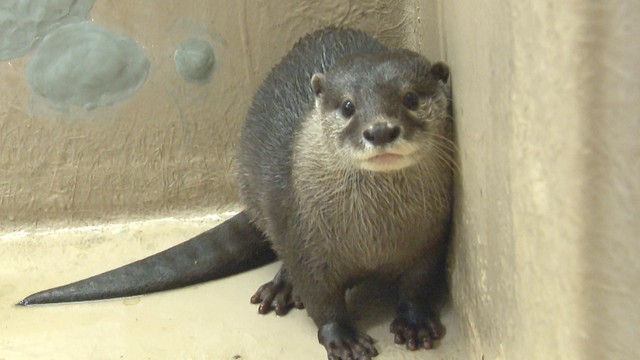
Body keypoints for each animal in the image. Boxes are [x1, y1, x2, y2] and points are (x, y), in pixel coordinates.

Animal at [18, 28, 456, 360]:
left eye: (410, 98)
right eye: (348, 106)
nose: (380, 130)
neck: (374, 238)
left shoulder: (429, 239)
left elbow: (418, 284)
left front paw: (415, 322)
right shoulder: (305, 243)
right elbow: (320, 297)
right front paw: (342, 336)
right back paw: (281, 288)